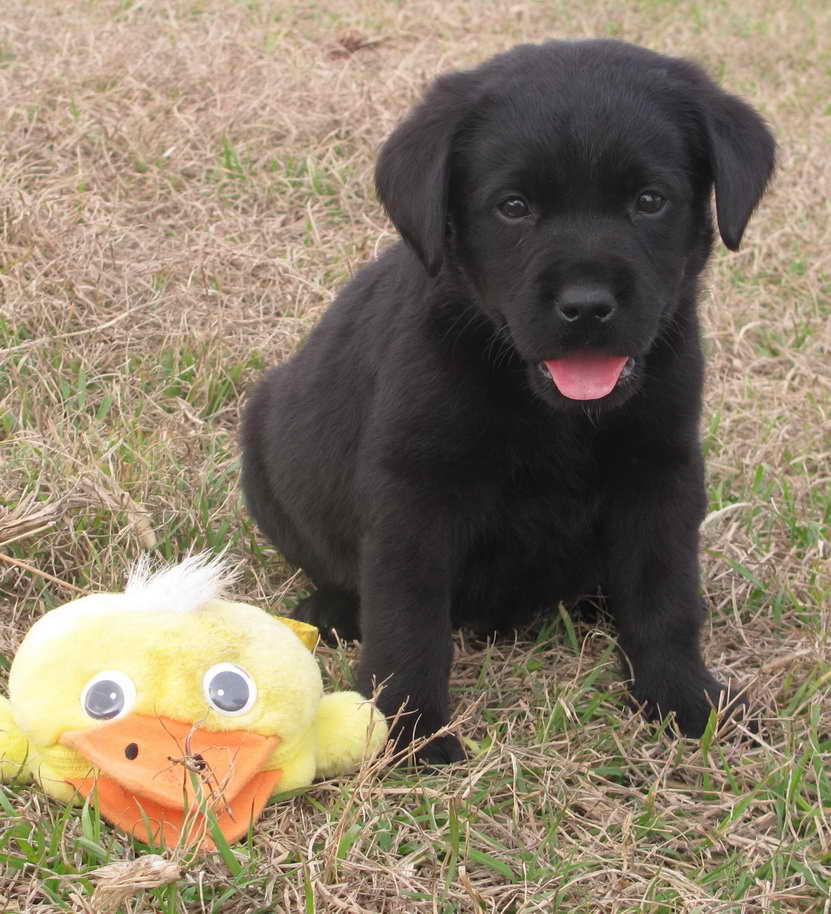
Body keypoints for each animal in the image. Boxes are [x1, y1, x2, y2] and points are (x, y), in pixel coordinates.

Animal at [244, 37, 776, 764]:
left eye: (649, 200)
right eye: (514, 207)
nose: (587, 306)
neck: (550, 408)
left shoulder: (661, 469)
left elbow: (664, 593)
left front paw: (684, 701)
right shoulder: (414, 487)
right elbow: (407, 613)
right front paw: (410, 731)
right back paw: (332, 611)